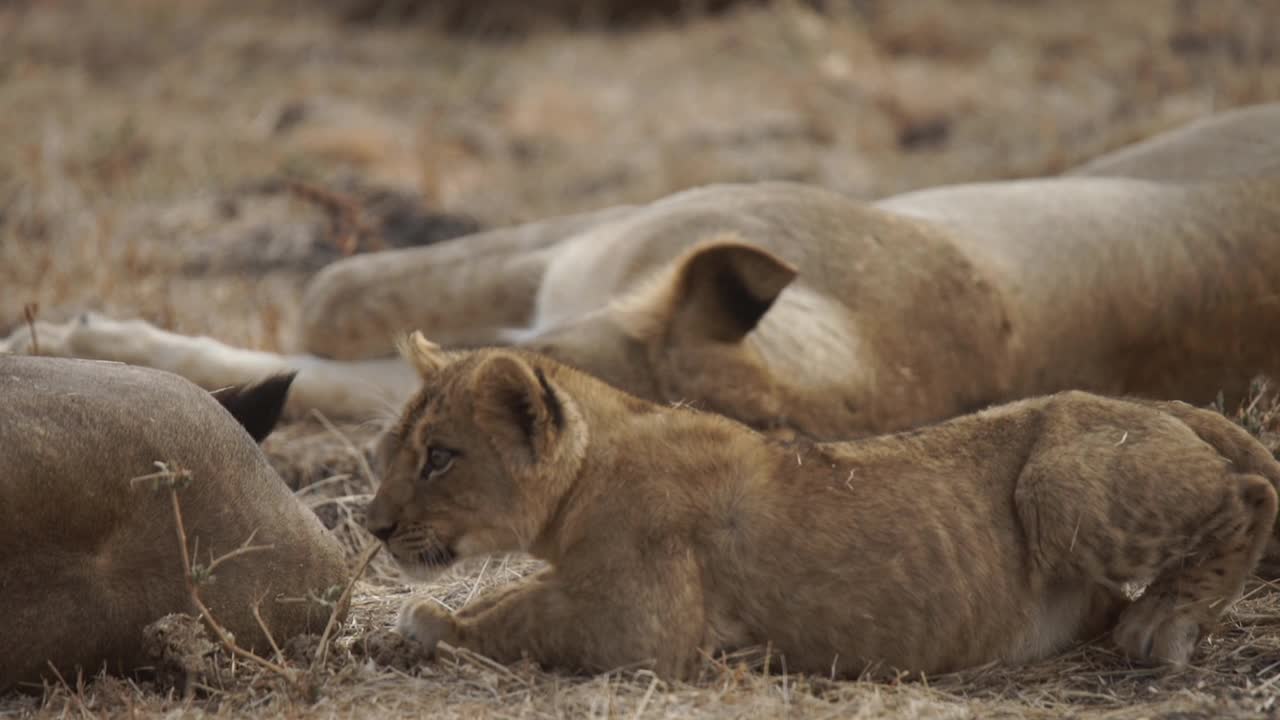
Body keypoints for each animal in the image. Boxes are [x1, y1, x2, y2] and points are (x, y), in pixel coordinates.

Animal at [366, 333, 1274, 676]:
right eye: (387, 452)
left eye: (439, 458)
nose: (373, 527)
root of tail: (1157, 405)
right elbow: (517, 594)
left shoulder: (642, 628)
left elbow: (520, 617)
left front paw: (430, 623)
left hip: (1060, 486)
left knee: (1254, 490)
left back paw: (1163, 626)